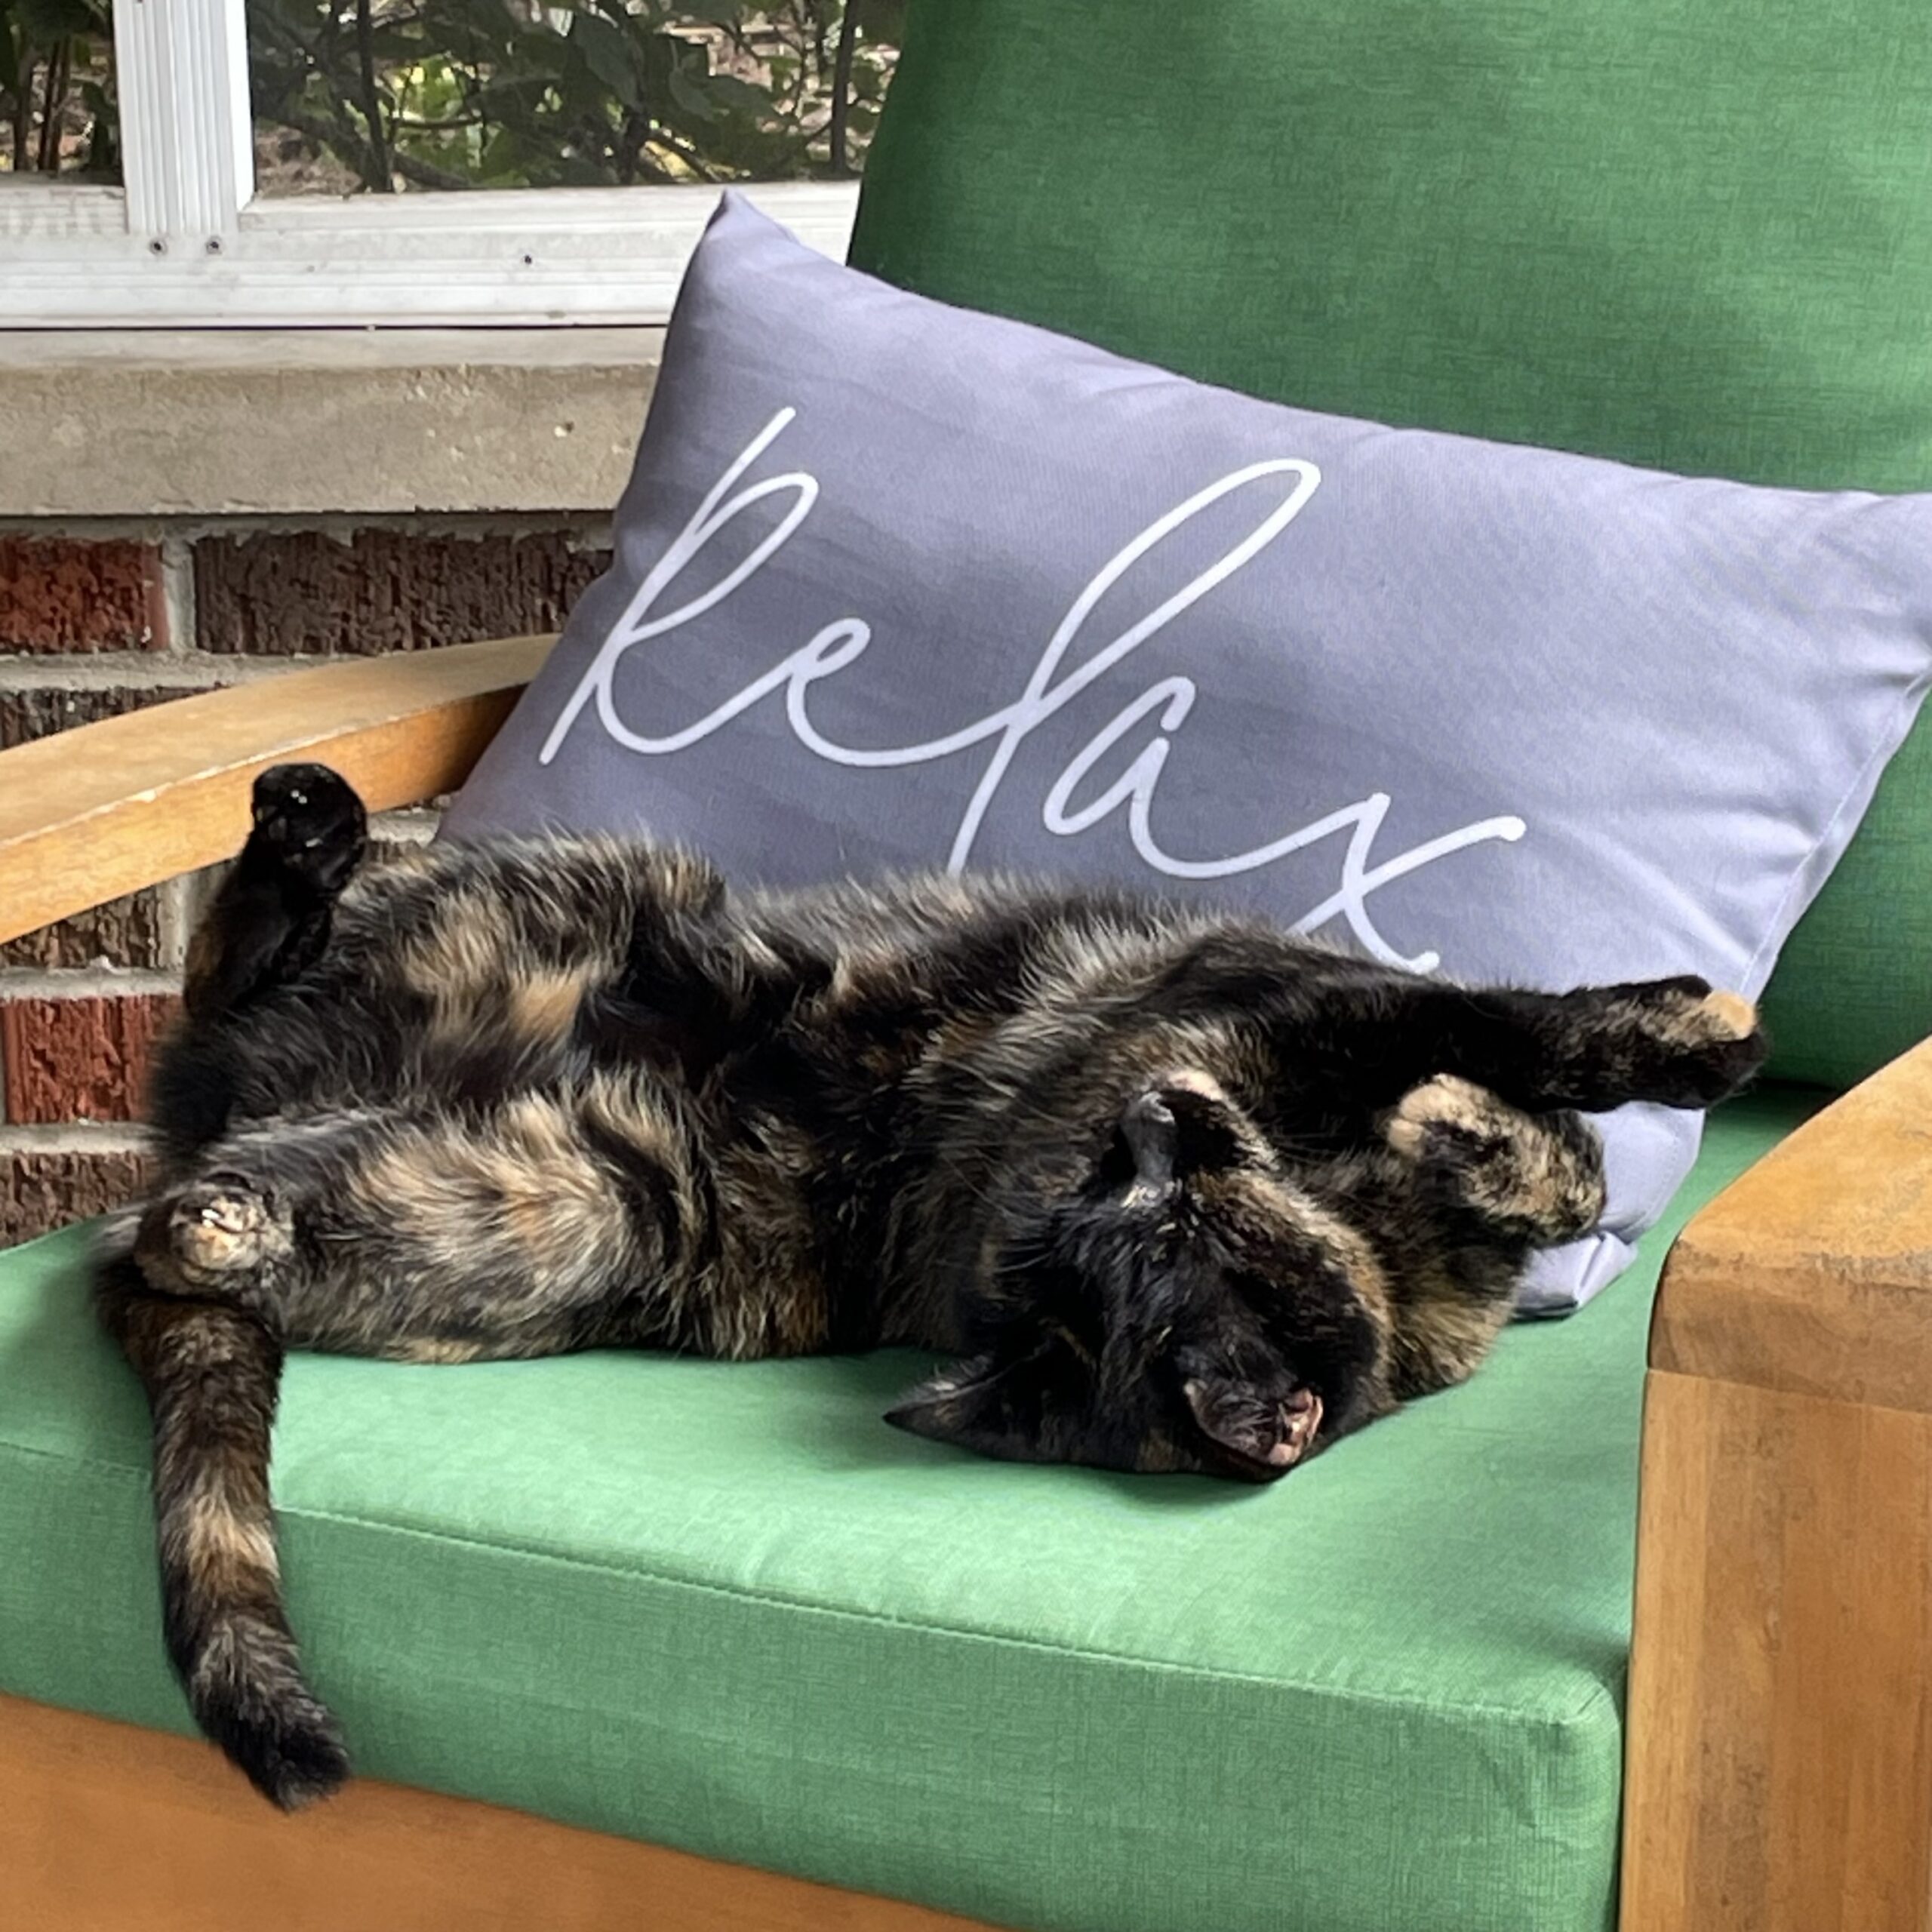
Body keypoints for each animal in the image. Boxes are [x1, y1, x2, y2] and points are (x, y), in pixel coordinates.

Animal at [102, 761, 1769, 1800]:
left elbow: (1548, 1145)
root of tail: (228, 1131)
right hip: (589, 900)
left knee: (217, 1151)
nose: (1150, 1118)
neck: (1361, 1203)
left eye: (1159, 1212)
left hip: (573, 1201)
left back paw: (233, 1209)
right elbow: (1505, 1027)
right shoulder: (1297, 1005)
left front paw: (1486, 1135)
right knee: (233, 979)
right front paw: (1680, 1036)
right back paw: (304, 832)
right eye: (1109, 1191)